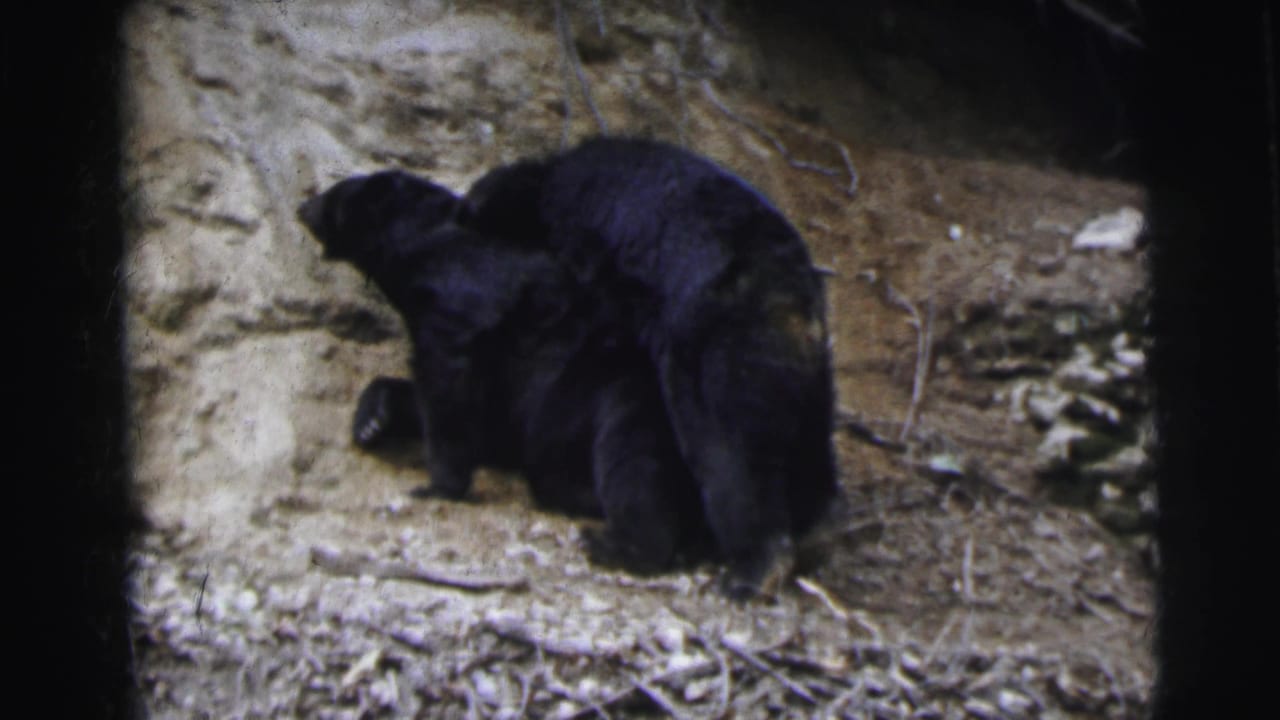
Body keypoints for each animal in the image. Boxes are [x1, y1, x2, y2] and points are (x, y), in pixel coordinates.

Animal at [297, 170, 709, 575]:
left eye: (333, 191)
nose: (303, 206)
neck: (421, 249)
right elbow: (480, 415)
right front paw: (371, 421)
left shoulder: (464, 297)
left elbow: (449, 384)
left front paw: (439, 484)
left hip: (617, 385)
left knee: (632, 456)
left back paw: (618, 543)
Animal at [456, 137, 839, 599]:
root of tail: (794, 309)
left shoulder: (586, 239)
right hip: (808, 377)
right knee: (807, 447)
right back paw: (813, 530)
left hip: (722, 348)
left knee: (729, 455)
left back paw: (751, 566)